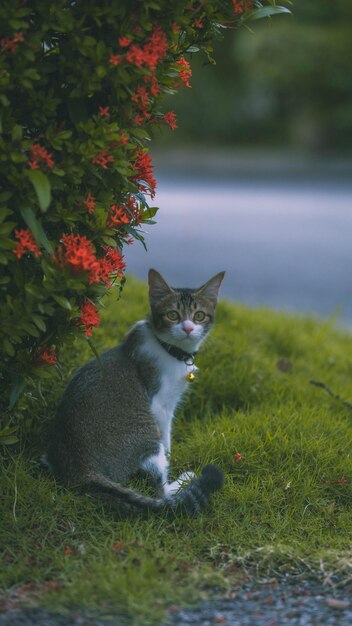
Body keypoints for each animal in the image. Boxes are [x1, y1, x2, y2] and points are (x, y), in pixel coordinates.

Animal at [45, 266, 224, 516]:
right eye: (173, 315)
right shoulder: (160, 405)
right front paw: (173, 459)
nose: (188, 328)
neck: (169, 350)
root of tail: (81, 469)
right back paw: (182, 482)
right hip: (145, 433)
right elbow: (166, 439)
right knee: (160, 492)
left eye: (199, 315)